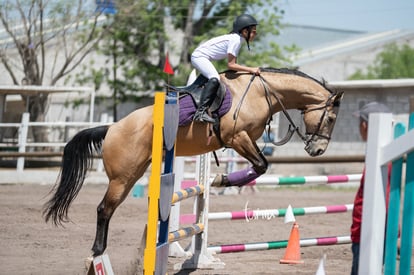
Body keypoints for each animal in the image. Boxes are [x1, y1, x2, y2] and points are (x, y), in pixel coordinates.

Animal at [43, 67, 344, 258]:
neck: (261, 92)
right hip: (122, 178)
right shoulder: (237, 137)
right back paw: (97, 251)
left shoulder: (243, 140)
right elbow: (261, 165)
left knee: (109, 208)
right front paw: (222, 179)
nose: (318, 150)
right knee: (104, 209)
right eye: (330, 118)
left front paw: (222, 180)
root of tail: (112, 127)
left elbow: (259, 165)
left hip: (133, 174)